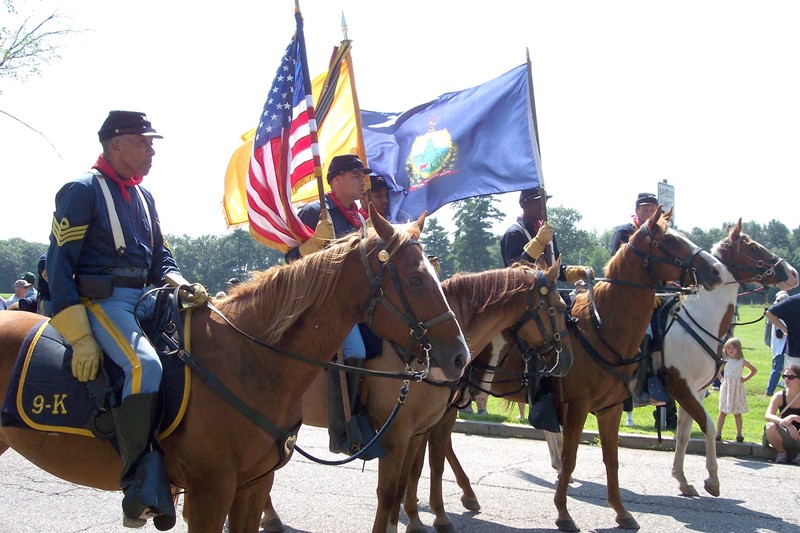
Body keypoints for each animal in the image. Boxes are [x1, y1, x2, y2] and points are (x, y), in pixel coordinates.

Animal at [260, 260, 572, 532]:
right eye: (558, 308)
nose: (566, 362)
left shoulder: (420, 429)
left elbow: (414, 473)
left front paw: (414, 519)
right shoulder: (400, 432)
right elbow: (404, 480)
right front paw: (432, 517)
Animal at [412, 208, 724, 532]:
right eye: (672, 241)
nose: (716, 270)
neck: (603, 328)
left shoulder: (611, 408)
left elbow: (611, 459)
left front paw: (621, 512)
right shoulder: (578, 407)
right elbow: (571, 457)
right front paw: (563, 512)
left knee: (441, 442)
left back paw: (466, 495)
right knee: (437, 442)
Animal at [660, 218, 796, 496]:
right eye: (753, 247)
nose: (792, 273)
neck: (699, 319)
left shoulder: (696, 389)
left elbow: (685, 433)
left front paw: (682, 478)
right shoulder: (681, 385)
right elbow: (709, 427)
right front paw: (712, 479)